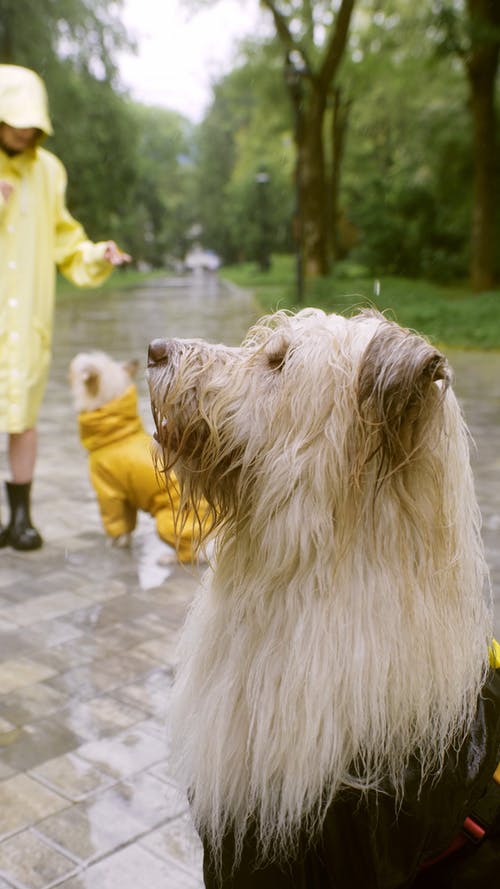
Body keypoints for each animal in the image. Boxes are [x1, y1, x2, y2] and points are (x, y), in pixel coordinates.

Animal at [69, 348, 204, 560]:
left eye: (77, 367)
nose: (76, 357)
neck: (118, 433)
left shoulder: (109, 492)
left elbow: (116, 524)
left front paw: (113, 544)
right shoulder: (125, 496)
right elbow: (128, 525)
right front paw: (125, 543)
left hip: (170, 522)